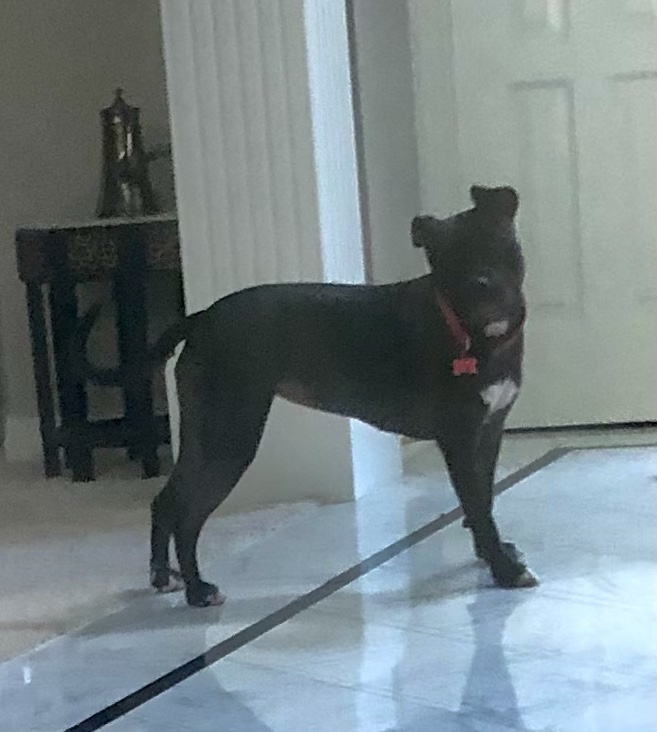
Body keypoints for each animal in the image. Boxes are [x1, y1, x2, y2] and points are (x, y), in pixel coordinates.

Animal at [77, 184, 536, 607]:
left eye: (496, 240)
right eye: (446, 261)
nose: (481, 287)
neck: (471, 334)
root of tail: (202, 319)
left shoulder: (489, 431)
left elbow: (484, 501)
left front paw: (492, 555)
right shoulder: (458, 439)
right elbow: (477, 506)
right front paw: (504, 570)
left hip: (207, 433)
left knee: (166, 502)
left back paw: (162, 577)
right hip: (230, 437)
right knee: (187, 515)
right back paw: (197, 590)